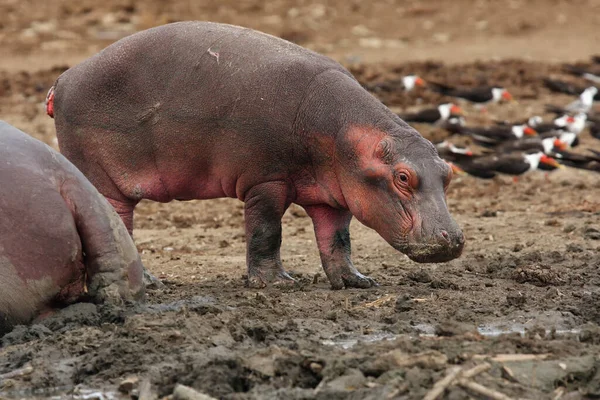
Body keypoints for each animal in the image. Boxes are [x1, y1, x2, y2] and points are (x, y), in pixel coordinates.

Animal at [49, 21, 466, 290]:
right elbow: (267, 232)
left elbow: (337, 241)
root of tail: (63, 80)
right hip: (102, 179)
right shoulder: (266, 180)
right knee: (116, 222)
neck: (342, 132)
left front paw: (357, 282)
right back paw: (149, 283)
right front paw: (276, 283)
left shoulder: (335, 196)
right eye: (403, 177)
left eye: (447, 172)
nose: (454, 238)